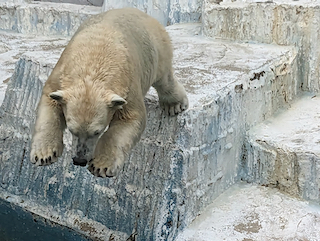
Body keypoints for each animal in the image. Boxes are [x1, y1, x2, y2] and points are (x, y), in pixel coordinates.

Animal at [29, 8, 188, 177]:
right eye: (72, 130)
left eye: (97, 132)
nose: (79, 160)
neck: (93, 64)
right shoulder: (60, 75)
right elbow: (49, 102)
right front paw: (44, 155)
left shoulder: (128, 86)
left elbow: (131, 118)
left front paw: (101, 166)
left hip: (156, 49)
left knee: (164, 78)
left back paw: (174, 105)